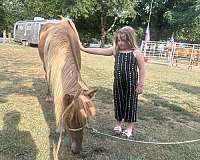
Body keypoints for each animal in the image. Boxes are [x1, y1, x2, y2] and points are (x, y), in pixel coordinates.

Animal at [38, 18, 97, 156]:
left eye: (85, 118)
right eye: (68, 118)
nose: (76, 151)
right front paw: (60, 128)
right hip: (45, 66)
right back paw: (48, 96)